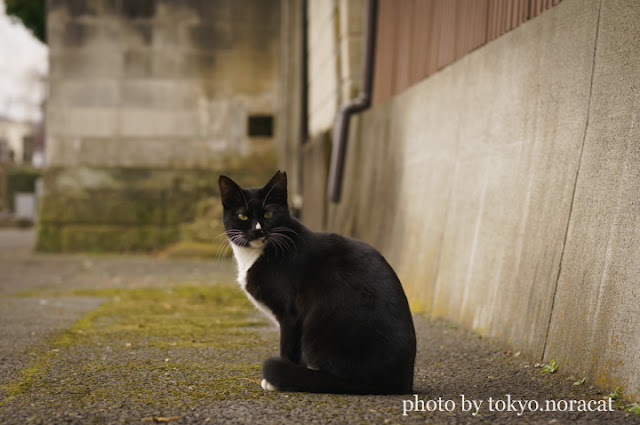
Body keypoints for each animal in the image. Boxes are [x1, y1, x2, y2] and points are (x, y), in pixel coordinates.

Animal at [218, 170, 418, 394]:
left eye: (268, 214)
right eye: (242, 216)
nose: (259, 230)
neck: (257, 255)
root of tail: (400, 382)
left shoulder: (289, 314)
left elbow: (288, 347)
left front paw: (276, 381)